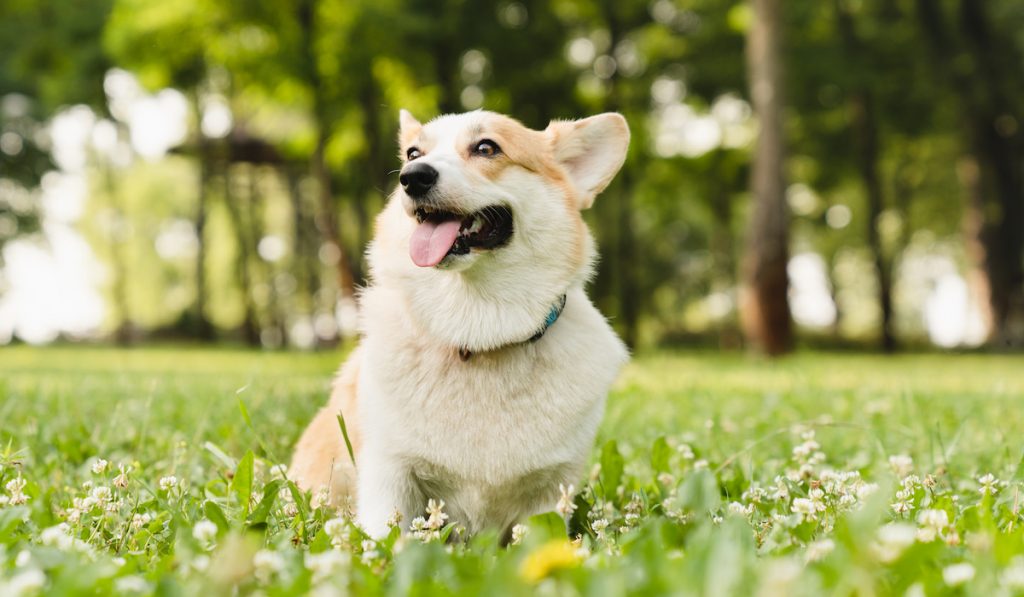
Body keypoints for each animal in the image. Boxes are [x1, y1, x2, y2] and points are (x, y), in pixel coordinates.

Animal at [284, 108, 626, 540]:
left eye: (486, 148)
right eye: (414, 152)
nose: (413, 176)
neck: (477, 332)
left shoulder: (552, 487)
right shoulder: (389, 474)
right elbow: (387, 539)